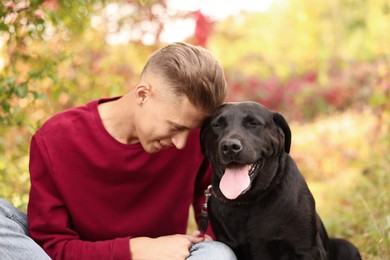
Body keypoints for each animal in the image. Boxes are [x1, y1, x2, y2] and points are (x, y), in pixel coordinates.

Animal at [200, 102, 362, 260]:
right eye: (217, 124)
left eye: (253, 123)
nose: (230, 146)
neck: (248, 201)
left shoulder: (308, 249)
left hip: (347, 247)